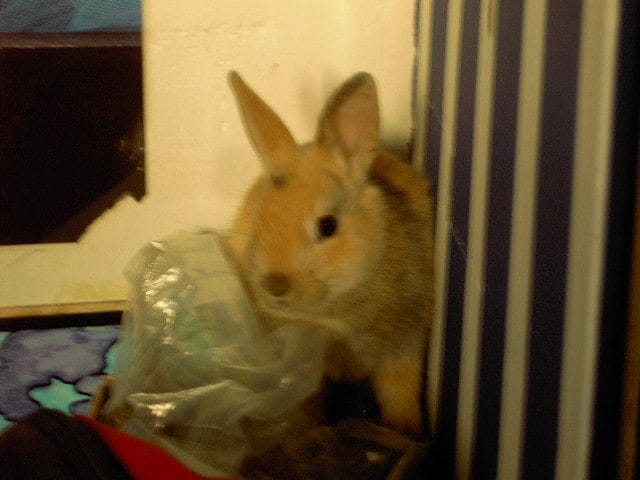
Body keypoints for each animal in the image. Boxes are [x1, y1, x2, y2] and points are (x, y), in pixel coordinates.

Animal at [226, 70, 434, 436]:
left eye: (326, 226)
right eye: (260, 220)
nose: (274, 287)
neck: (335, 311)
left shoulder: (404, 345)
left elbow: (400, 394)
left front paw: (406, 430)